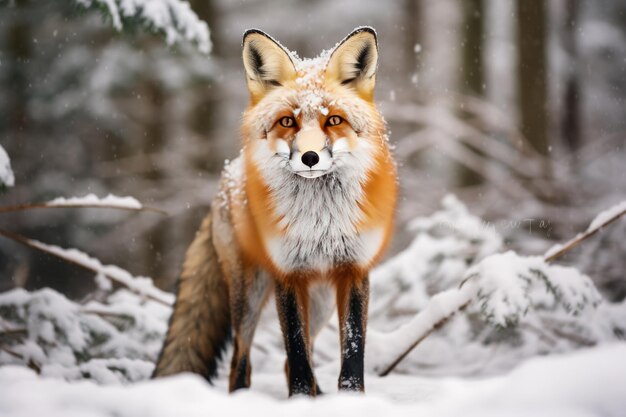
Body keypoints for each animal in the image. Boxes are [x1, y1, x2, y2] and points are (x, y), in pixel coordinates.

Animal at [153, 26, 394, 396]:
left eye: (334, 120)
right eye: (287, 121)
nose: (310, 157)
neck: (318, 222)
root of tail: (228, 175)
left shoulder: (354, 270)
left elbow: (352, 352)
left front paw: (351, 399)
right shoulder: (288, 273)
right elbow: (296, 352)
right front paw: (300, 400)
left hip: (321, 301)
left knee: (288, 360)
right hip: (249, 295)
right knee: (241, 360)